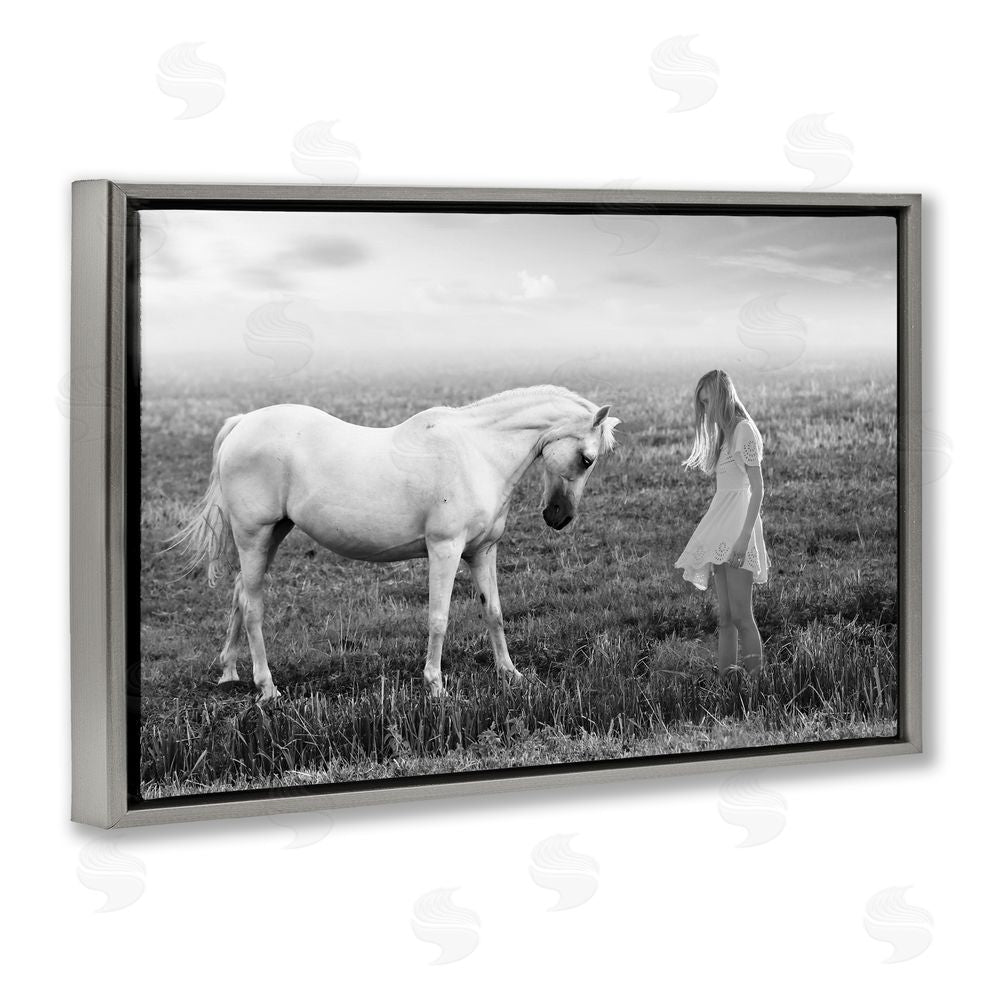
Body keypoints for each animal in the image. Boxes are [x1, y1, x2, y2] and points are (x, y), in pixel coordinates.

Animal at [170, 385, 620, 702]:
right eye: (587, 458)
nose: (559, 517)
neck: (477, 453)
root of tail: (242, 424)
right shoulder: (445, 550)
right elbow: (438, 618)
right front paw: (436, 686)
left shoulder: (481, 552)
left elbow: (493, 612)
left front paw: (511, 674)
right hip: (254, 535)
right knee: (253, 609)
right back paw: (267, 688)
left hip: (273, 534)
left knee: (239, 595)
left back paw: (229, 671)